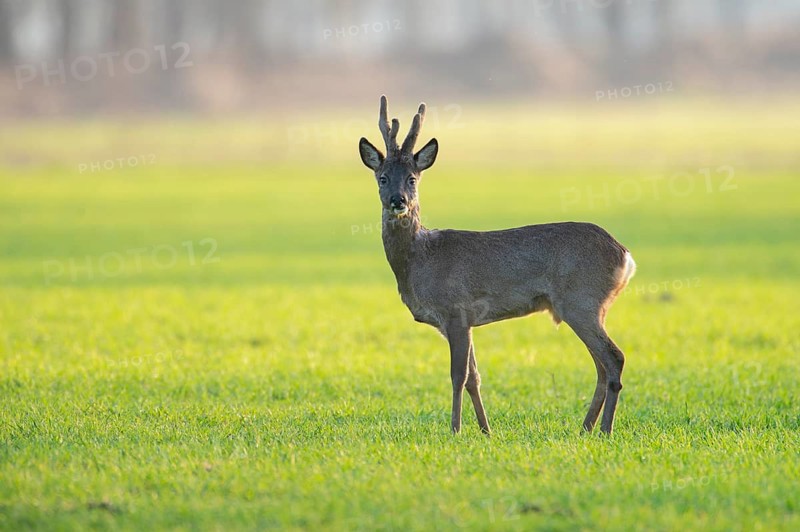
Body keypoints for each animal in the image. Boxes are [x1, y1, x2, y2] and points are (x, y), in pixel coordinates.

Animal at [358, 96, 636, 435]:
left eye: (412, 178)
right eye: (382, 177)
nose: (398, 200)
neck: (419, 261)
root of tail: (624, 255)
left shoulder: (456, 310)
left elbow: (458, 376)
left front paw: (455, 429)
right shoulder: (456, 321)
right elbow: (474, 378)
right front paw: (485, 430)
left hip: (580, 300)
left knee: (614, 357)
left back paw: (604, 429)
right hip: (593, 307)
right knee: (601, 365)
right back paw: (585, 428)